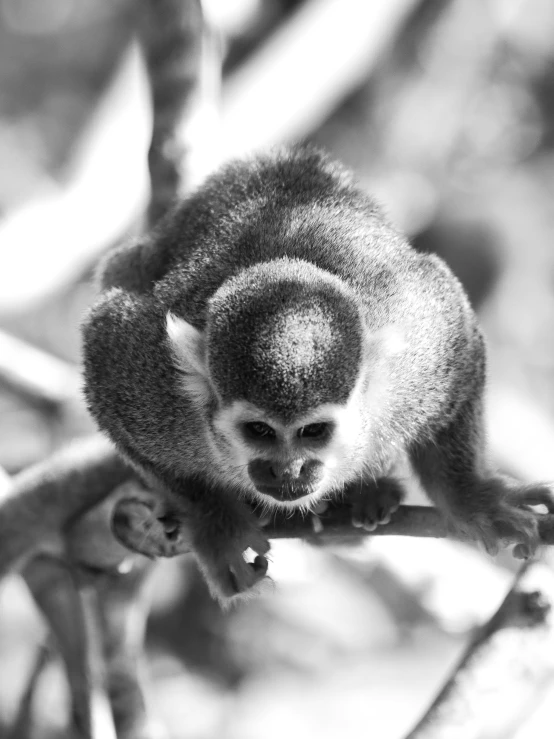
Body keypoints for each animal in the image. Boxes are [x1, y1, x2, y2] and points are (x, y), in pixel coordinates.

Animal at [81, 146, 548, 608]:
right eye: (259, 431)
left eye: (314, 432)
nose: (287, 472)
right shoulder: (153, 388)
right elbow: (104, 348)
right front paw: (215, 523)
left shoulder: (425, 349)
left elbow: (460, 340)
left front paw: (471, 497)